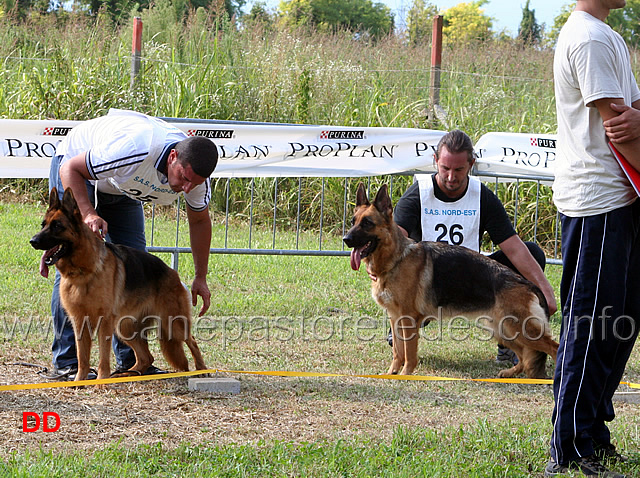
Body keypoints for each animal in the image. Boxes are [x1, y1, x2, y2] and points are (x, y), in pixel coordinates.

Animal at [30, 188, 206, 380]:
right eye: (43, 225)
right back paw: (128, 373)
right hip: (125, 329)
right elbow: (82, 359)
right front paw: (78, 380)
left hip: (173, 323)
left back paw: (202, 368)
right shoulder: (79, 323)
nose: (33, 241)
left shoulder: (104, 322)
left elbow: (103, 360)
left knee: (192, 341)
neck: (83, 273)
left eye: (57, 226)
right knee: (146, 357)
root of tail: (172, 272)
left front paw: (100, 381)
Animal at [342, 182, 556, 378]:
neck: (396, 259)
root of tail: (529, 284)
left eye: (367, 223)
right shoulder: (395, 318)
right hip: (503, 329)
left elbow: (409, 354)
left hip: (521, 329)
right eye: (353, 221)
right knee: (524, 356)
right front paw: (392, 373)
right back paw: (511, 372)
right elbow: (398, 351)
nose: (346, 239)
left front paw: (405, 375)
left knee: (552, 348)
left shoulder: (408, 319)